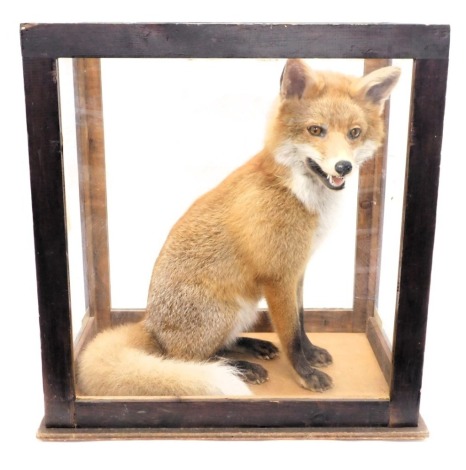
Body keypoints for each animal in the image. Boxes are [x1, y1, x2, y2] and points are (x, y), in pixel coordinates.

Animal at [77, 57, 400, 396]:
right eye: (316, 130)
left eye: (354, 133)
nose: (343, 167)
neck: (297, 192)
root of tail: (149, 324)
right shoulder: (278, 276)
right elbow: (290, 335)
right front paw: (305, 373)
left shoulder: (297, 271)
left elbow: (300, 323)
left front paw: (311, 353)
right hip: (229, 310)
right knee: (194, 359)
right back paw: (242, 368)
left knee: (217, 348)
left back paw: (254, 347)